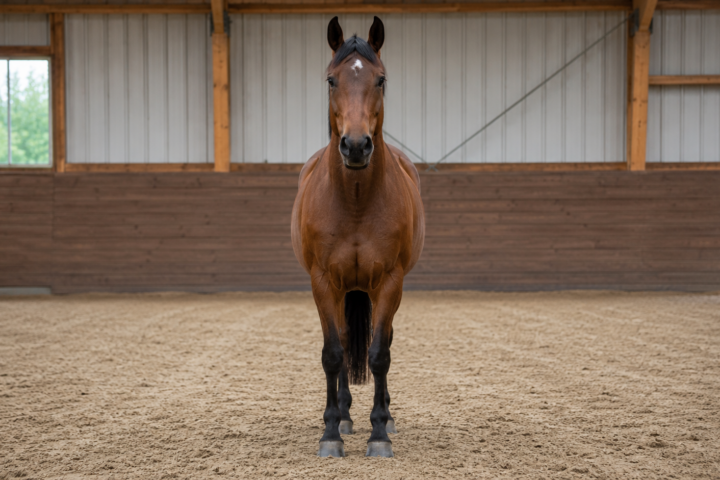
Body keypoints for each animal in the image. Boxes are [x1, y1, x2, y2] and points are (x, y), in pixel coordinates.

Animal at [291, 16, 425, 458]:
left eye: (380, 79)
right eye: (331, 80)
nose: (354, 146)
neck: (354, 203)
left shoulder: (389, 282)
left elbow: (380, 353)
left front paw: (380, 432)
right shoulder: (322, 281)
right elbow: (334, 354)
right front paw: (331, 432)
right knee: (347, 342)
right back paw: (346, 417)